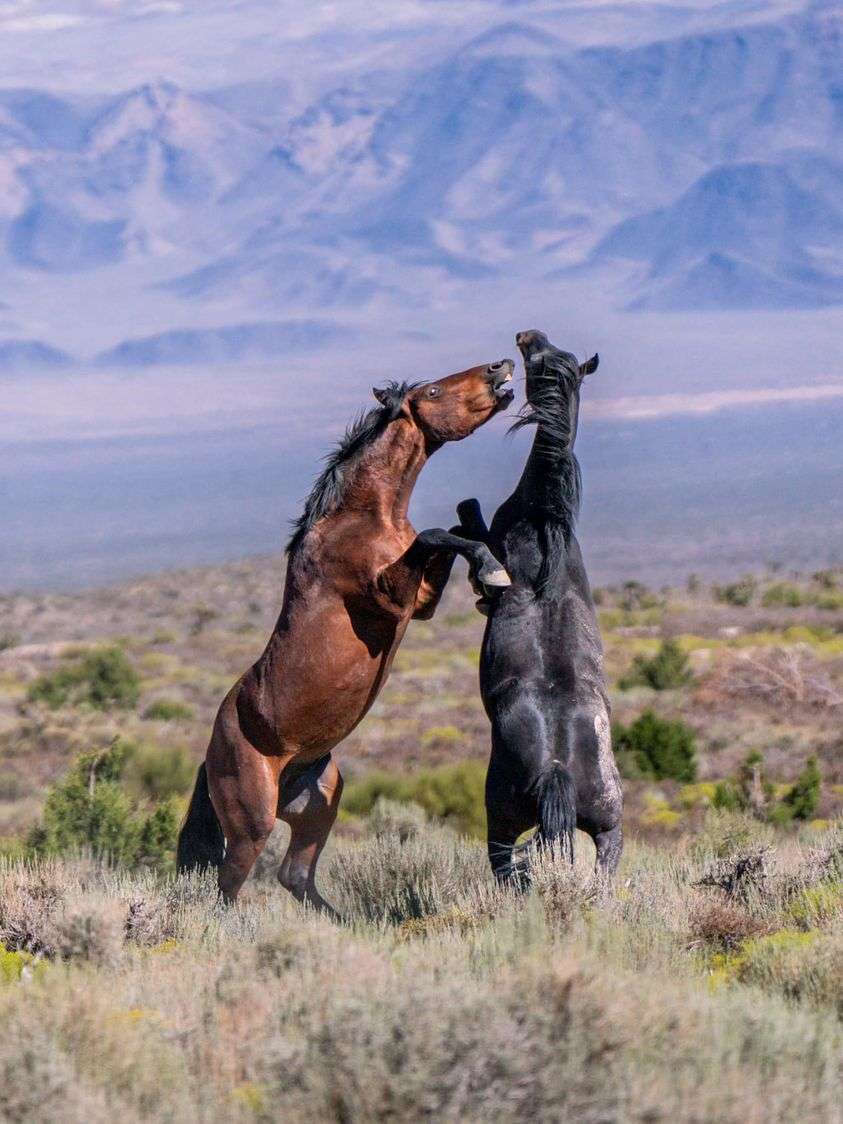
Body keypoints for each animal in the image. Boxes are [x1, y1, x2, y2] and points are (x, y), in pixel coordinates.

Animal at [177, 359, 514, 912]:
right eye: (433, 391)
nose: (498, 368)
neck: (362, 517)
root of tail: (210, 757)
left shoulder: (419, 603)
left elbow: (447, 536)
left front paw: (489, 574)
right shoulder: (389, 595)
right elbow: (435, 536)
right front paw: (492, 573)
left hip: (320, 800)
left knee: (296, 876)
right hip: (251, 822)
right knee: (226, 886)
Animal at [456, 328, 629, 881]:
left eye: (537, 361)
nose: (527, 334)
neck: (543, 519)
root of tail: (558, 769)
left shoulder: (493, 540)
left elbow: (469, 526)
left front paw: (483, 578)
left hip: (501, 824)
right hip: (609, 834)